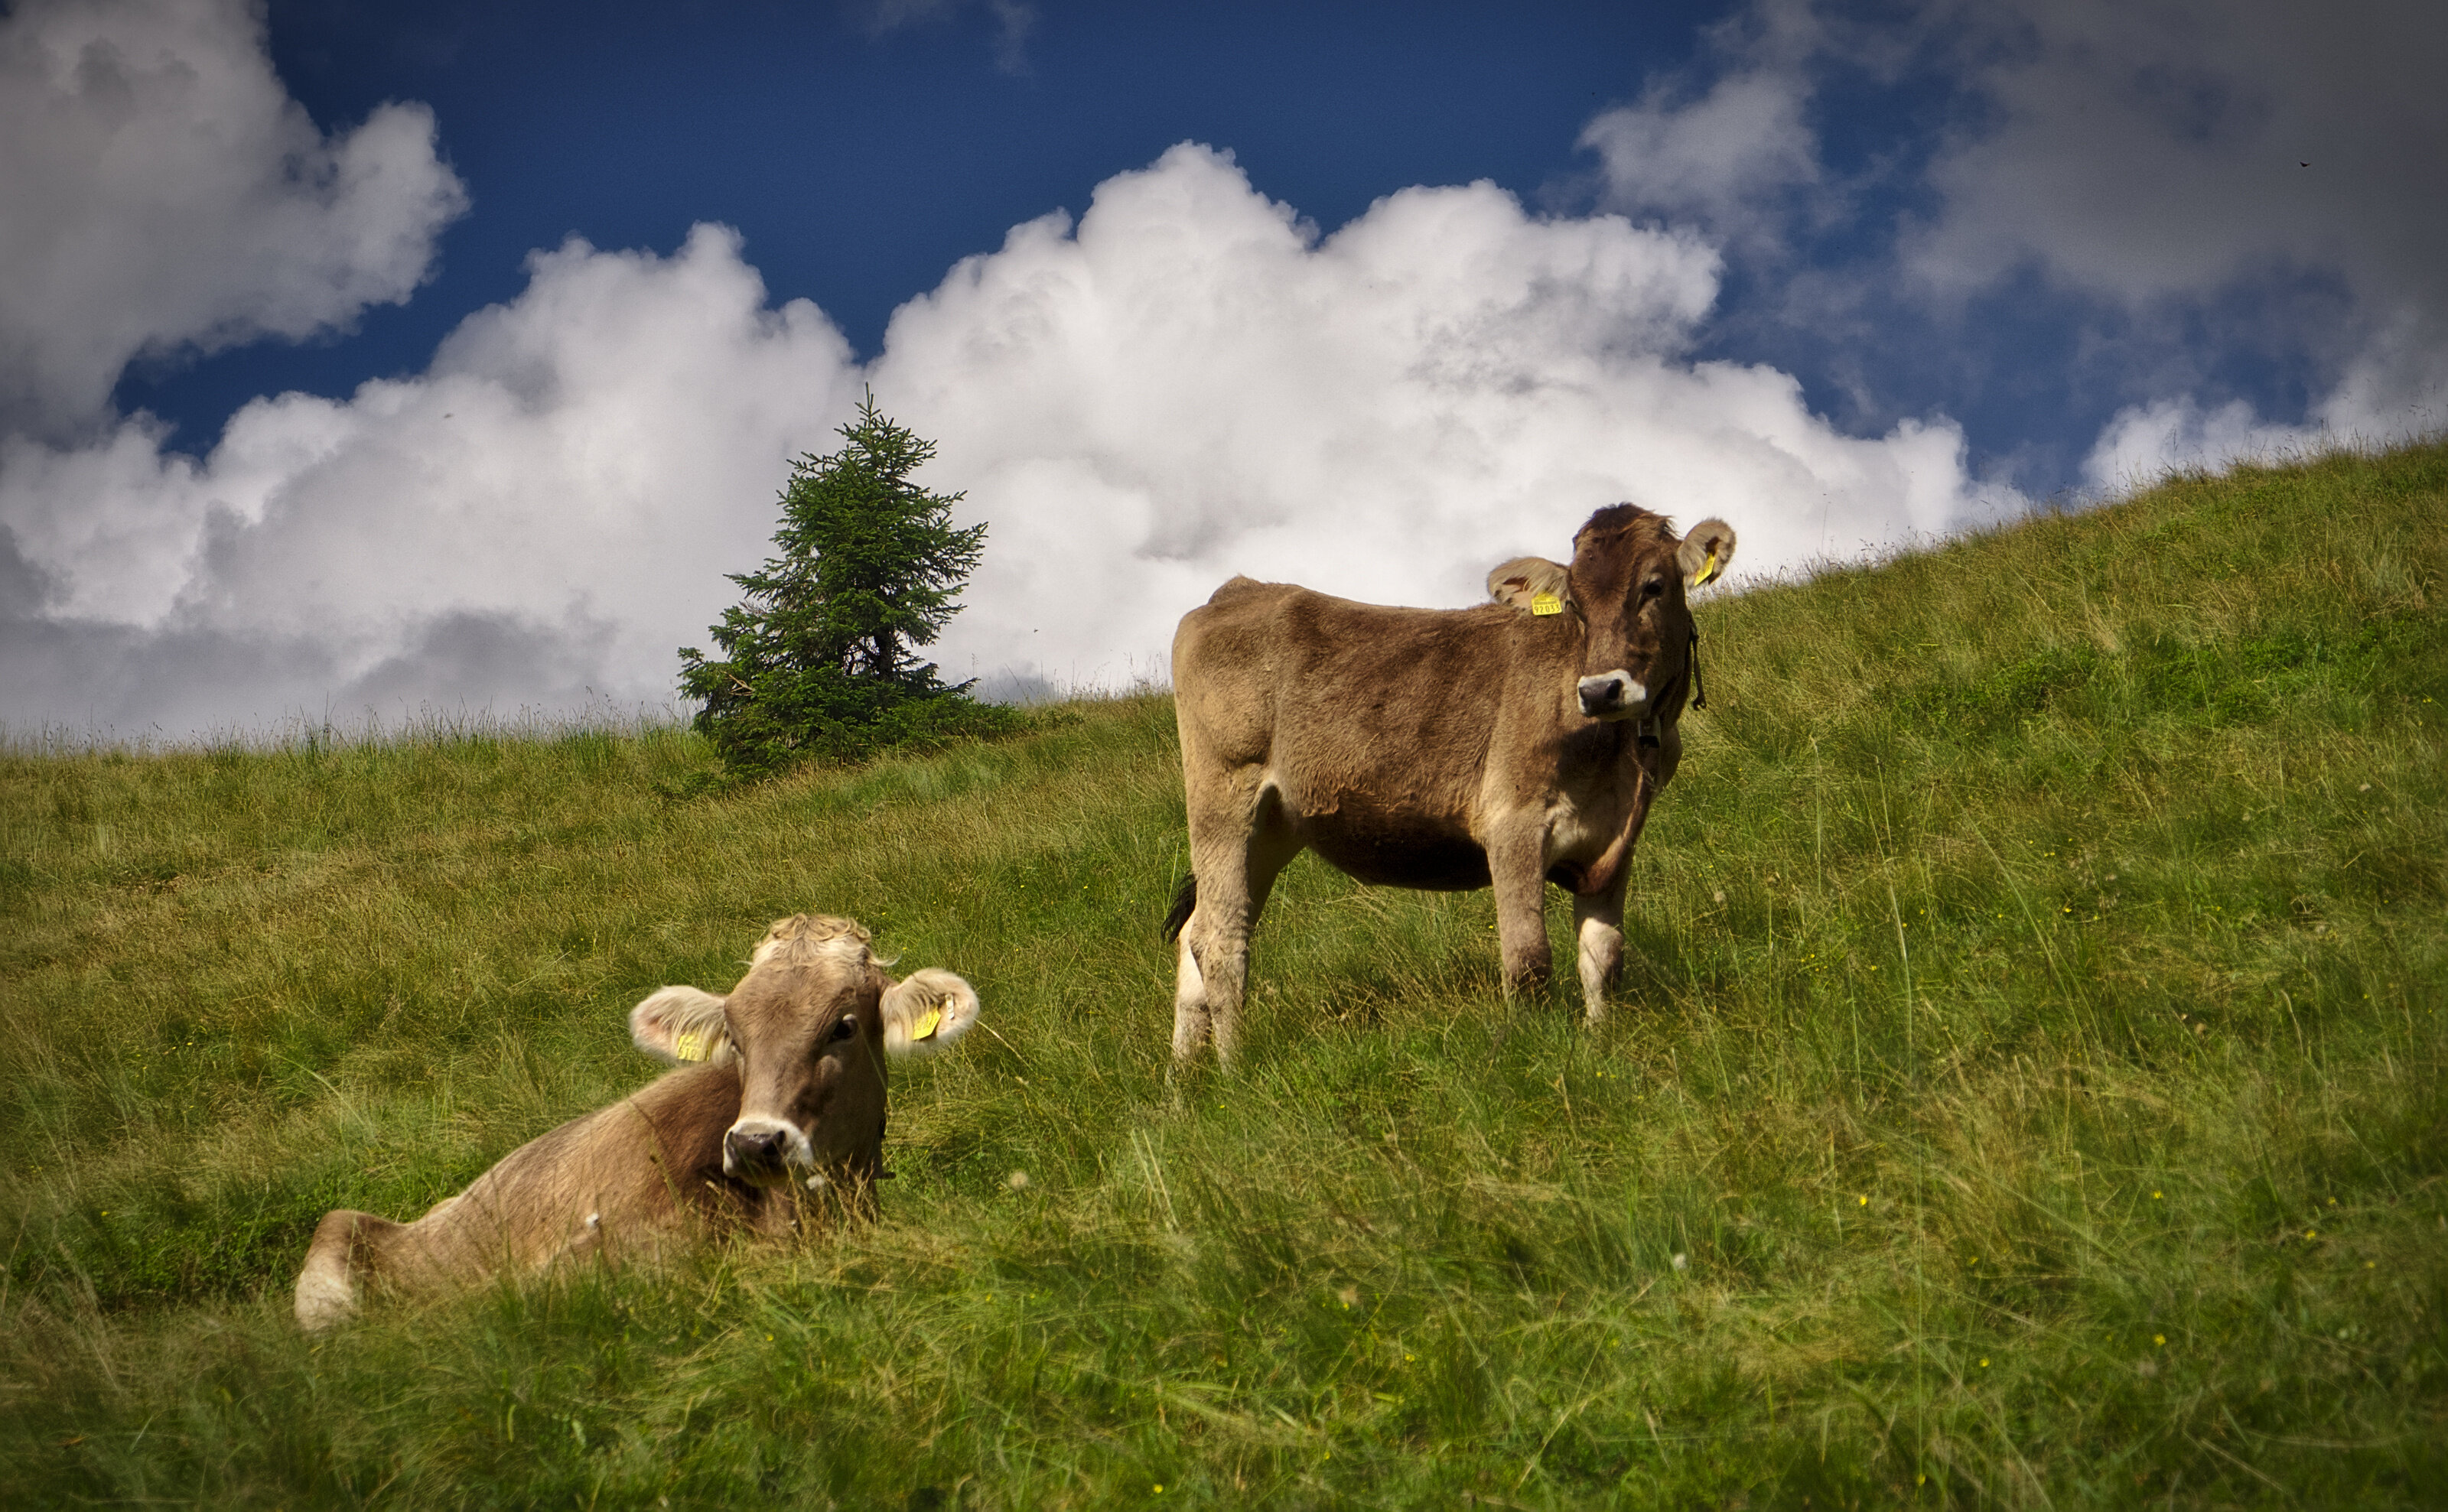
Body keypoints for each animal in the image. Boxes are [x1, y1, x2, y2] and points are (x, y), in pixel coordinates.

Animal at [1163, 505, 1735, 1066]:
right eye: (1574, 603)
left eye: (1654, 586)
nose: (1599, 690)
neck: (1622, 757)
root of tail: (1240, 589)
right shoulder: (1513, 825)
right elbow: (1528, 961)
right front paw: (1530, 1052)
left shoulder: (1616, 840)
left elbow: (1604, 959)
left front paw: (1600, 1045)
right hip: (1224, 799)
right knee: (1220, 939)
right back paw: (1236, 1069)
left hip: (1275, 826)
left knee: (1198, 930)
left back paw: (1183, 1082)